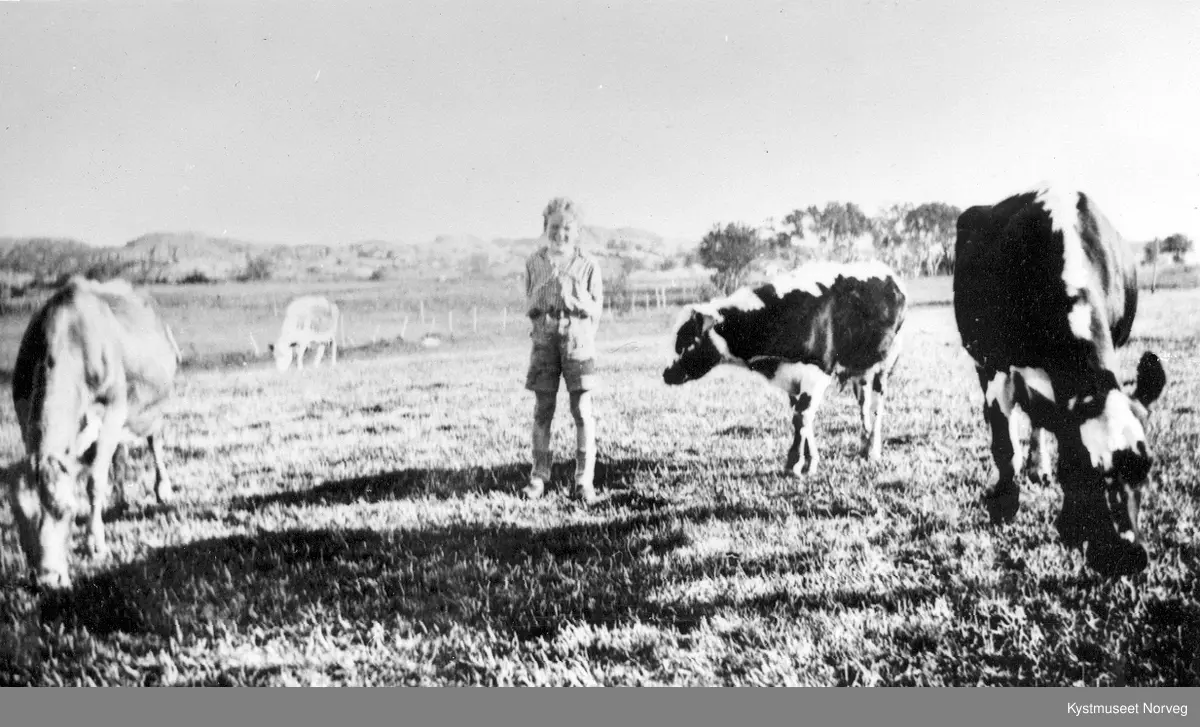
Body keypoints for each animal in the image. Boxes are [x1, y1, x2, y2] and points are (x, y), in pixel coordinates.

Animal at [7, 275, 180, 590]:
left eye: (69, 512)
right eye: (19, 518)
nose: (47, 580)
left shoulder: (113, 410)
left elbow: (94, 482)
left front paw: (95, 543)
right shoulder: (25, 416)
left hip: (153, 404)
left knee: (154, 441)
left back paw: (162, 488)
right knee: (121, 455)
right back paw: (121, 499)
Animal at [662, 261, 902, 479]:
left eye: (688, 342)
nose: (667, 374)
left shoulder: (818, 373)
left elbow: (801, 418)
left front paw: (794, 464)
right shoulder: (790, 378)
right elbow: (802, 418)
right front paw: (809, 461)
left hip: (885, 363)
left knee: (877, 406)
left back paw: (873, 449)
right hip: (861, 368)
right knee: (863, 404)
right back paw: (865, 446)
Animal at [955, 188, 1161, 580]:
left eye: (1146, 467)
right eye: (1089, 468)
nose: (1129, 556)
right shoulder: (996, 365)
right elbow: (1004, 444)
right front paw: (1004, 504)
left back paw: (1040, 468)